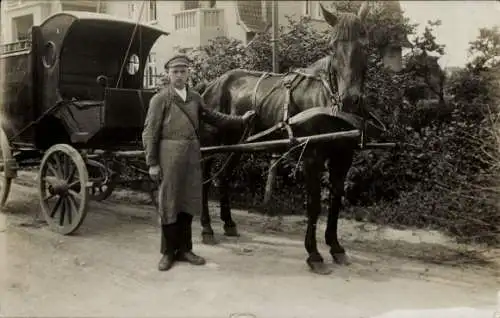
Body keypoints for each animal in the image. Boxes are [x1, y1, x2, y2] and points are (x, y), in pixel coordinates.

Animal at [197, 2, 374, 274]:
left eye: (364, 45)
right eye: (332, 47)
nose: (349, 100)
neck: (327, 98)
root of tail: (211, 84)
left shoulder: (343, 157)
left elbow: (335, 200)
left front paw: (336, 247)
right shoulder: (312, 157)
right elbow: (314, 203)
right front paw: (314, 254)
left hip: (238, 145)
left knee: (223, 178)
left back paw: (228, 223)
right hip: (211, 144)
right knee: (206, 180)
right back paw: (206, 228)